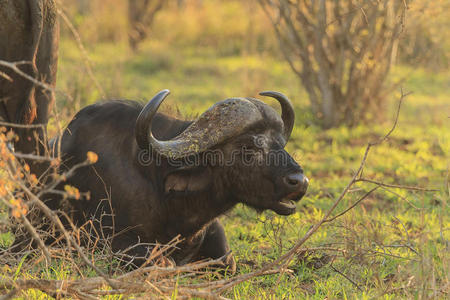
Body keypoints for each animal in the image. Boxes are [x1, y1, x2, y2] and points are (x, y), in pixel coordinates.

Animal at [51, 89, 308, 270]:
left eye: (280, 144)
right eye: (247, 148)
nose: (300, 182)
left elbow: (228, 262)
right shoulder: (110, 240)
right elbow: (164, 262)